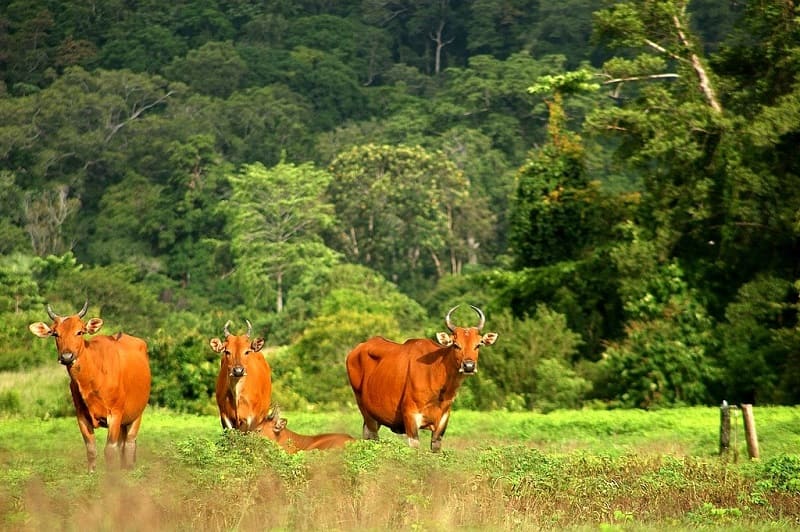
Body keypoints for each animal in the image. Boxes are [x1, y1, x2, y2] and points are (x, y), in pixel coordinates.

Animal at [28, 302, 152, 472]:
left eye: (79, 332)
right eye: (55, 334)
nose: (67, 356)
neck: (92, 378)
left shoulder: (115, 414)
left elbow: (110, 449)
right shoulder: (81, 416)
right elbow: (91, 449)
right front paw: (92, 473)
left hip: (137, 414)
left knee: (129, 443)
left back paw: (129, 468)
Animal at [346, 306, 496, 450]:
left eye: (478, 344)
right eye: (456, 344)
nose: (469, 366)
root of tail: (355, 351)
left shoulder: (442, 420)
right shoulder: (410, 417)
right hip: (365, 409)